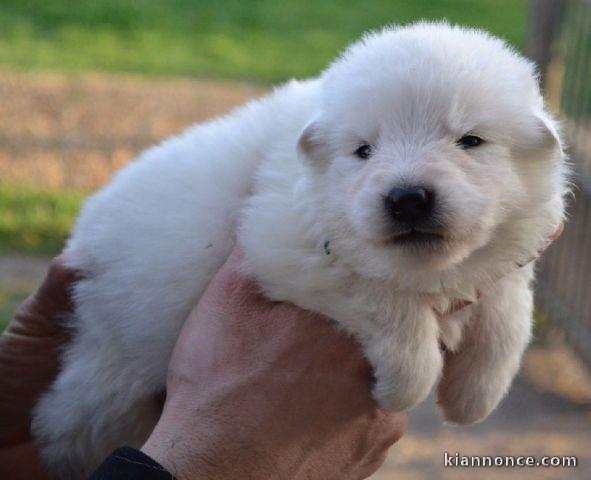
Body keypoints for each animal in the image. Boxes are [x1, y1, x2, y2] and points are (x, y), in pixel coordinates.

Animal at [32, 23, 568, 480]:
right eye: (363, 150)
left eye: (470, 140)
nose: (407, 198)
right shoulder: (286, 245)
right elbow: (388, 303)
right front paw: (403, 386)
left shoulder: (508, 256)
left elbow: (507, 311)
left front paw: (474, 397)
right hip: (108, 385)